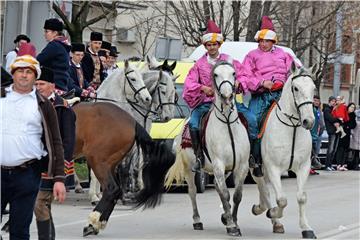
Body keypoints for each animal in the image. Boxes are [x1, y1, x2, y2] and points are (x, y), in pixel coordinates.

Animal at [72, 101, 174, 236]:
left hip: (98, 160)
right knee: (116, 190)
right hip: (110, 164)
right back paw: (99, 222)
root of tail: (132, 122)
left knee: (111, 189)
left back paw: (92, 222)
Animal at [165, 60, 249, 236]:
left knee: (217, 187)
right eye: (215, 75)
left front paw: (233, 221)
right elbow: (225, 194)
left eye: (234, 73)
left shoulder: (242, 166)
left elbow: (237, 195)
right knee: (192, 191)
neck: (228, 125)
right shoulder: (218, 165)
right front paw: (231, 225)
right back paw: (197, 221)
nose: (227, 96)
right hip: (189, 168)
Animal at [253, 62, 318, 239]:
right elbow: (282, 199)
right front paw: (273, 212)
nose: (309, 121)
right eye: (296, 88)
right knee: (263, 188)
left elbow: (301, 197)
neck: (292, 128)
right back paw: (265, 211)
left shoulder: (303, 167)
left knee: (264, 189)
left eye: (314, 88)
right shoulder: (273, 167)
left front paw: (306, 228)